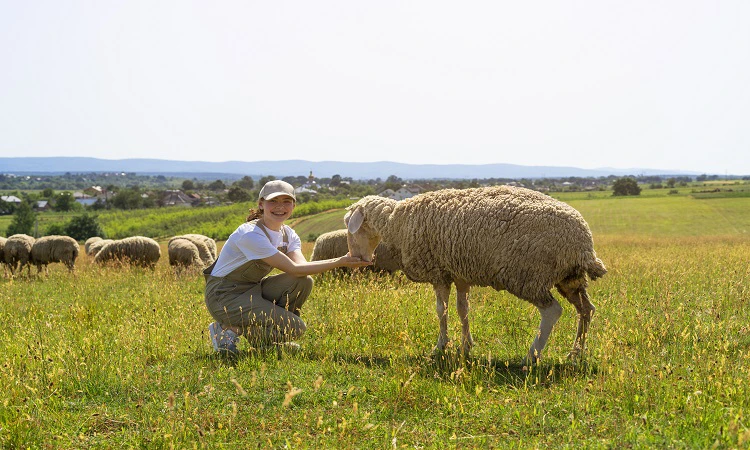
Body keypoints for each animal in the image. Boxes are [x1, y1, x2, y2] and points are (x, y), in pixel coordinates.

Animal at [344, 185, 608, 364]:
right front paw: (466, 345)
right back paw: (575, 352)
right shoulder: (460, 273)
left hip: (528, 276)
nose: (359, 259)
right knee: (586, 310)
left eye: (351, 226)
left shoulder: (438, 273)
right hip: (569, 278)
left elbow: (441, 310)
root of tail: (583, 244)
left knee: (552, 311)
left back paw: (531, 356)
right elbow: (463, 310)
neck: (395, 222)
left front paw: (441, 346)